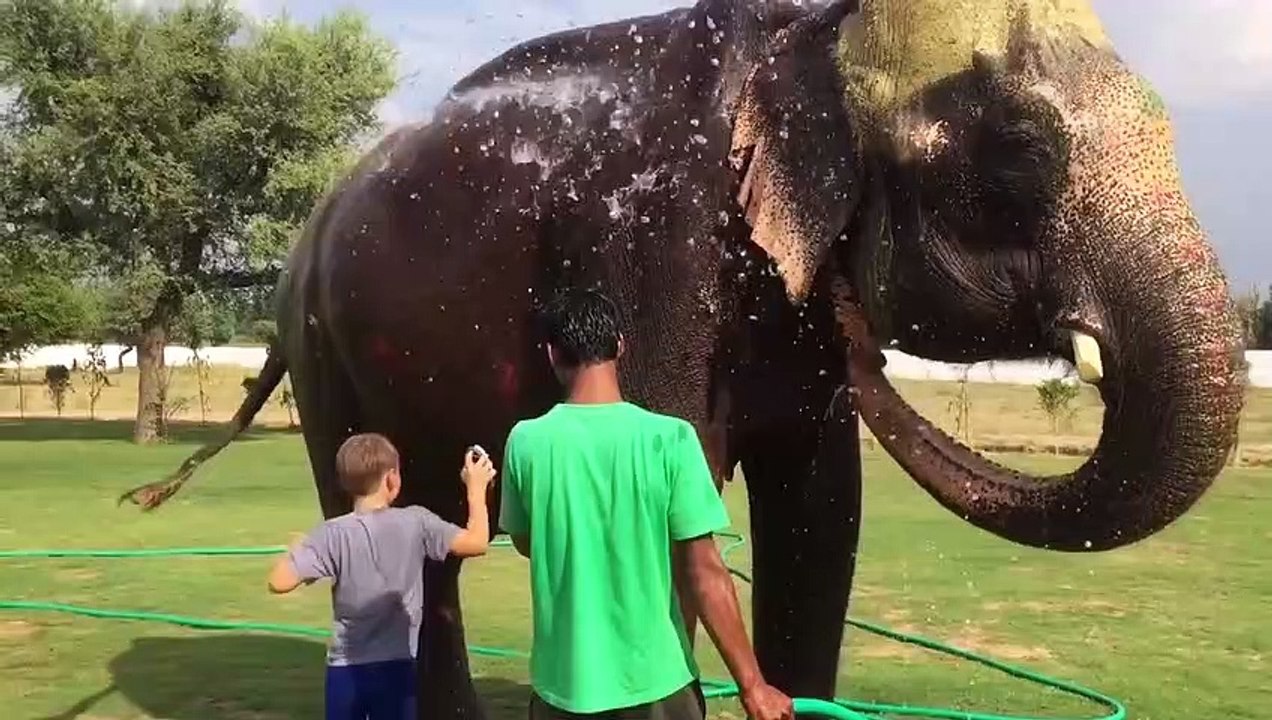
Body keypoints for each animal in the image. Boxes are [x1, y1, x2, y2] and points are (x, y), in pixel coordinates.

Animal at [122, 0, 1246, 718]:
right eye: (1016, 148)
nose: (862, 338)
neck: (805, 31)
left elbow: (822, 511)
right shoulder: (660, 247)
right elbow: (687, 494)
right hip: (321, 345)